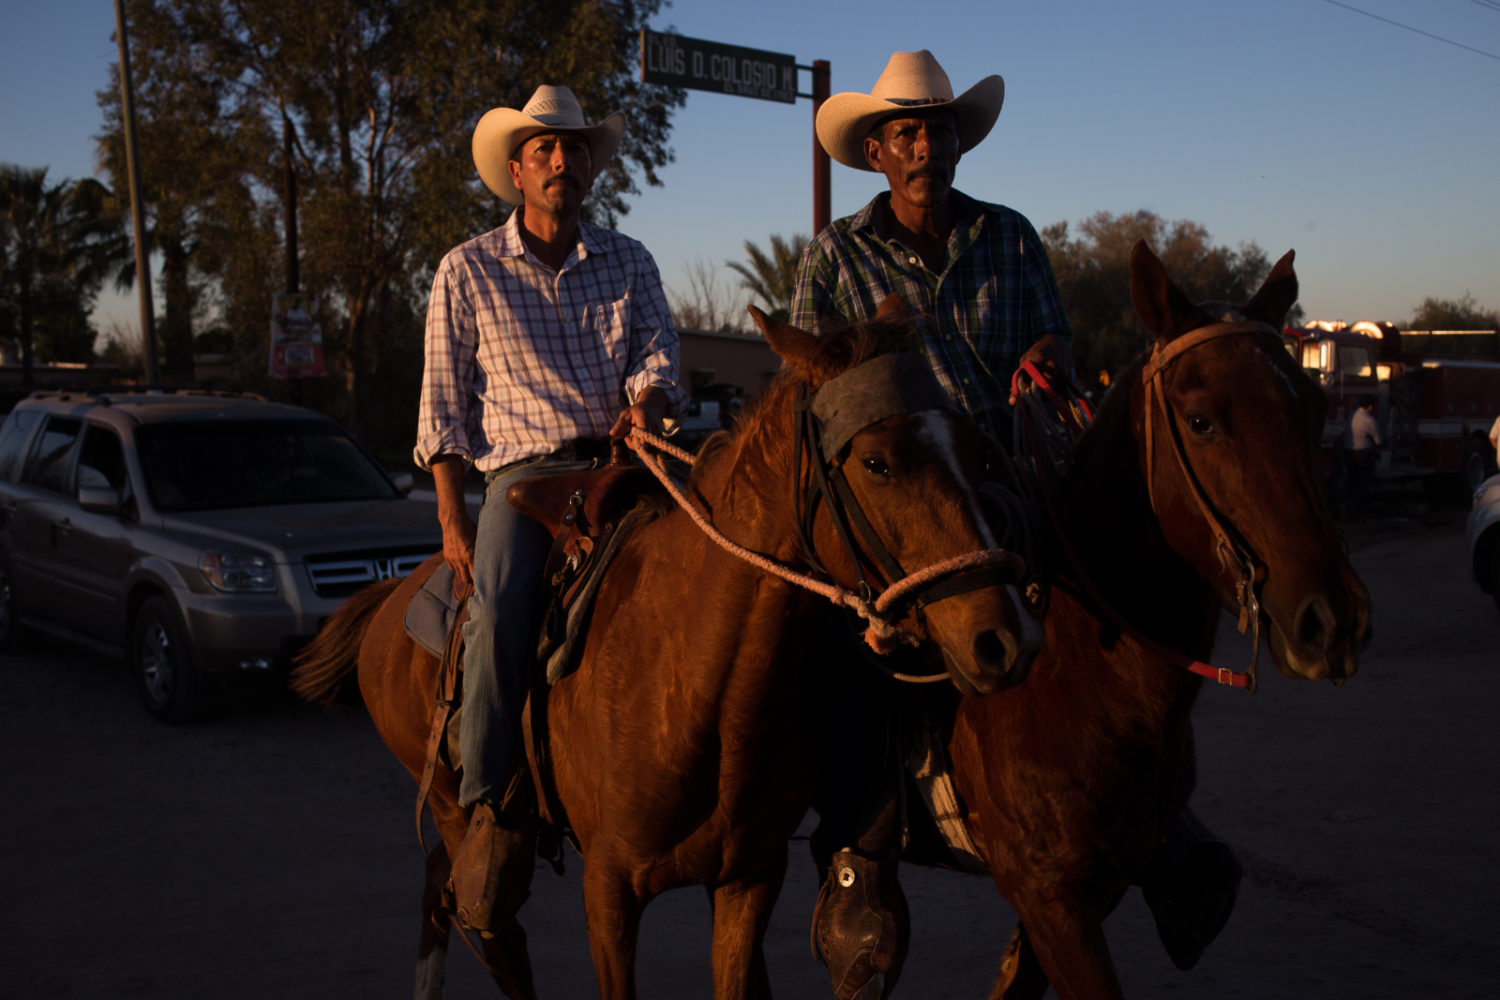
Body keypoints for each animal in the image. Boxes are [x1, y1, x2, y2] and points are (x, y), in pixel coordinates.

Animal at [291, 297, 1045, 1000]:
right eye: (877, 462)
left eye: (977, 451)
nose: (1003, 637)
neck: (694, 680)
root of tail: (392, 598)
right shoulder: (609, 892)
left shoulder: (749, 880)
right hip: (454, 810)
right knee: (488, 921)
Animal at [933, 241, 1371, 999]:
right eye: (1200, 421)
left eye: (1318, 408)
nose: (1333, 619)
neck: (1078, 671)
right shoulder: (1050, 894)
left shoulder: (1097, 880)